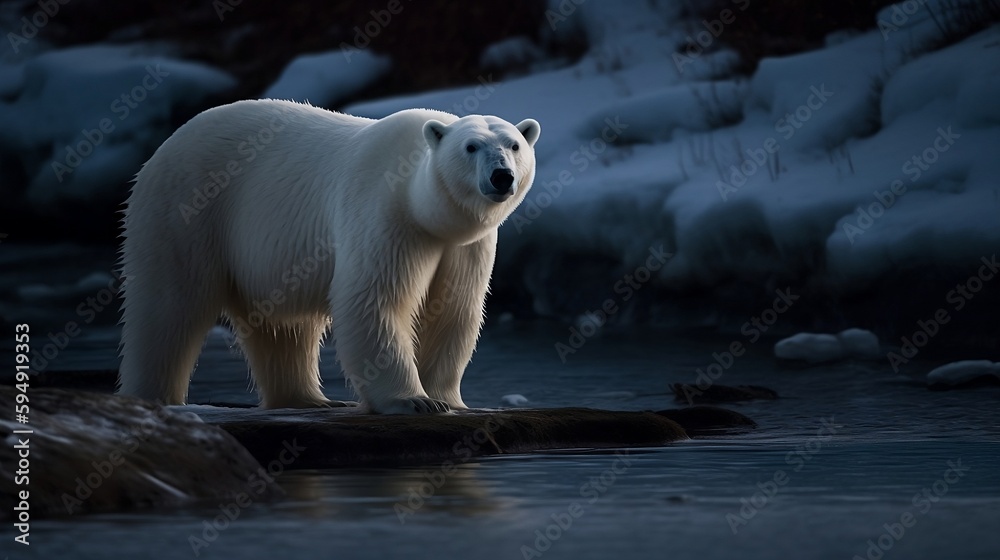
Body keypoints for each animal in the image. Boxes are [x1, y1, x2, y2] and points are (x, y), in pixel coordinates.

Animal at [117, 99, 540, 414]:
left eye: (514, 145)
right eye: (471, 147)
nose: (501, 176)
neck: (424, 208)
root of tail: (166, 145)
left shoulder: (465, 246)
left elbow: (454, 310)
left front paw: (446, 398)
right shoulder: (384, 213)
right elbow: (373, 300)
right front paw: (414, 401)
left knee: (284, 325)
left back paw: (308, 399)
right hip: (187, 209)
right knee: (168, 308)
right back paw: (154, 396)